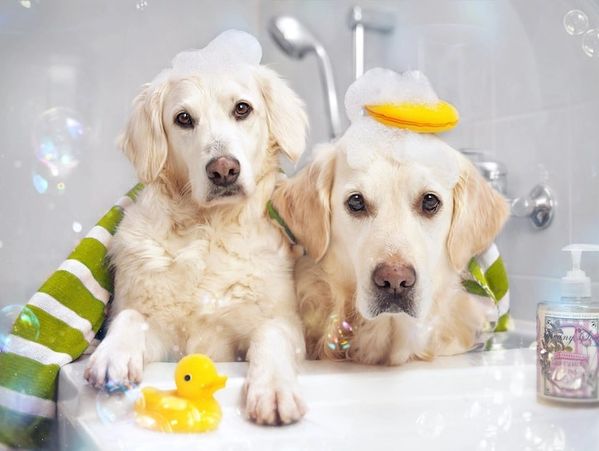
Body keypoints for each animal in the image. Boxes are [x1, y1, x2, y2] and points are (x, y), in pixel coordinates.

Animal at [83, 30, 310, 426]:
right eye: (184, 118)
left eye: (242, 109)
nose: (223, 169)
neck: (209, 231)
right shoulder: (163, 333)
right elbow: (131, 316)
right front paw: (112, 355)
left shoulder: (280, 323)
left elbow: (271, 334)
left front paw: (274, 388)